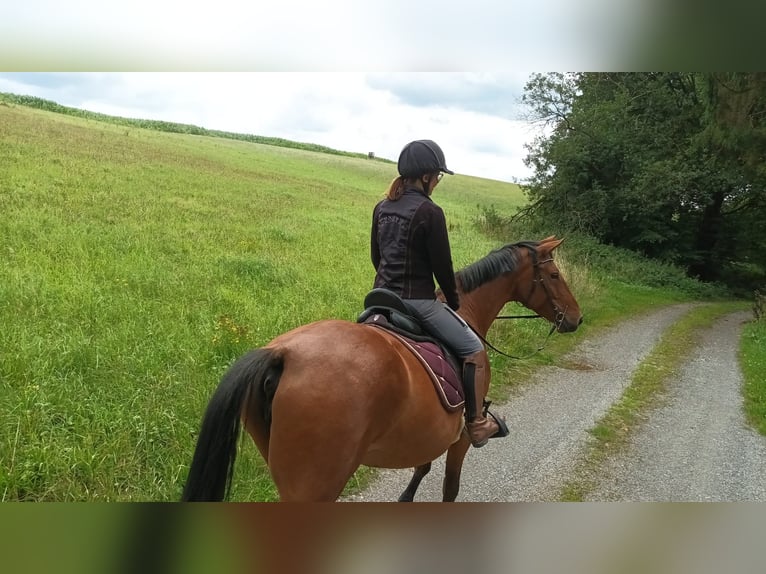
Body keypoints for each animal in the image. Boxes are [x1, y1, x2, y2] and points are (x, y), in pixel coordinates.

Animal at [181, 236, 582, 502]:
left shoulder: (431, 431)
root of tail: (282, 354)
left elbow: (422, 467)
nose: (576, 319)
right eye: (555, 276)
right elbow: (448, 486)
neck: (465, 311)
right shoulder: (461, 437)